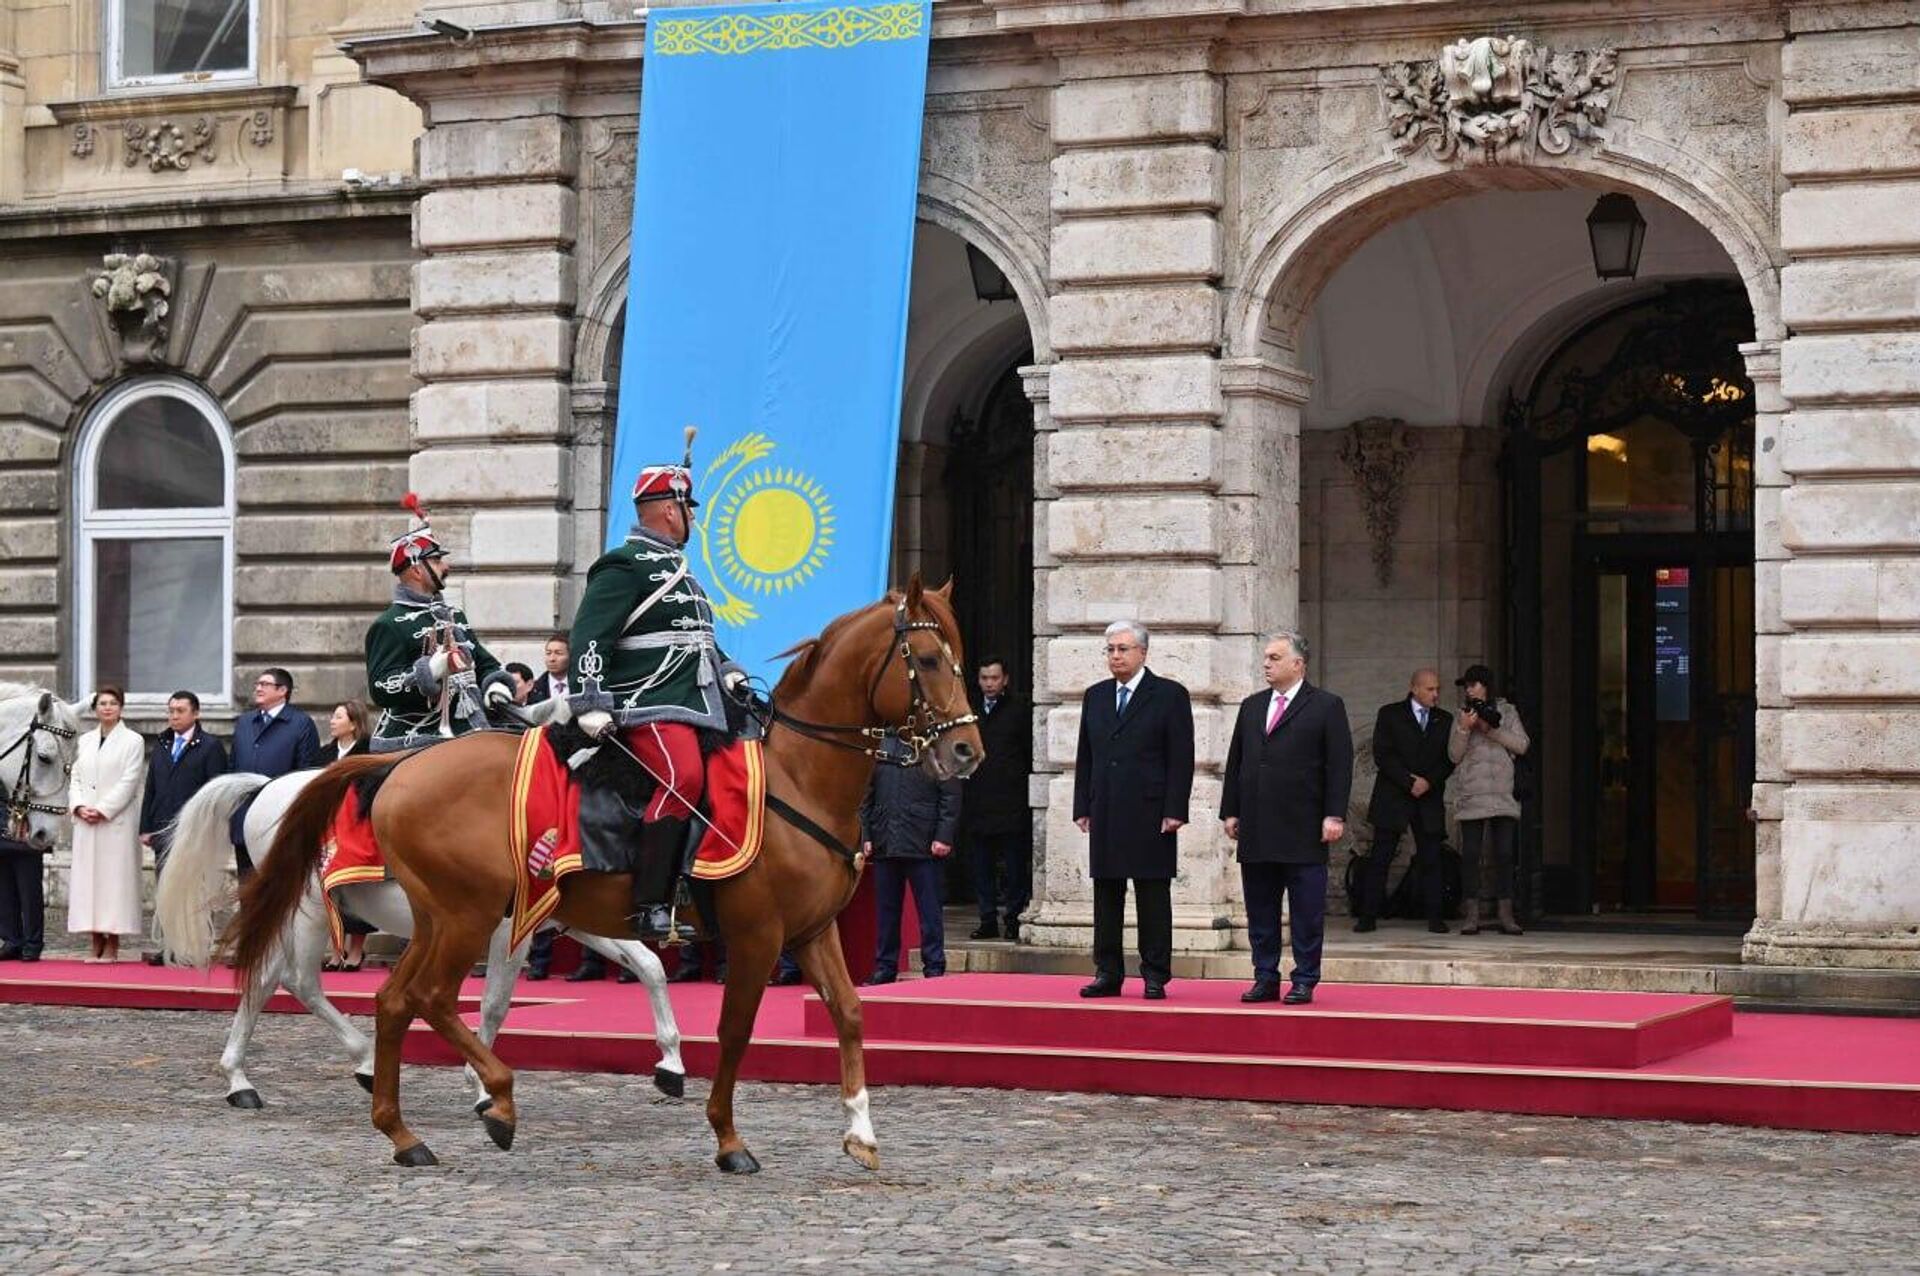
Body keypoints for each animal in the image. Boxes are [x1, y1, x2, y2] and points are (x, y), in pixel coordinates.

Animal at [155, 767, 691, 1105]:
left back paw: (243, 1078)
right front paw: (483, 1086)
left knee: (268, 978)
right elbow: (494, 1004)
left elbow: (648, 966)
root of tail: (266, 787)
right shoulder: (506, 932)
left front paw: (670, 1062)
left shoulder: (569, 924)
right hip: (307, 909)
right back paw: (352, 1061)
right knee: (293, 979)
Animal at [228, 575, 975, 1166]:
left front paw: (860, 1130)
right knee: (377, 991)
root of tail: (396, 771)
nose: (968, 750)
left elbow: (847, 1013)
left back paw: (401, 1129)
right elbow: (733, 1030)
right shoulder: (755, 934)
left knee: (390, 999)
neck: (797, 782)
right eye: (927, 659)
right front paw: (728, 1138)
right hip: (443, 914)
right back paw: (479, 1097)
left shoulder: (811, 931)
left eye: (963, 659)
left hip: (440, 918)